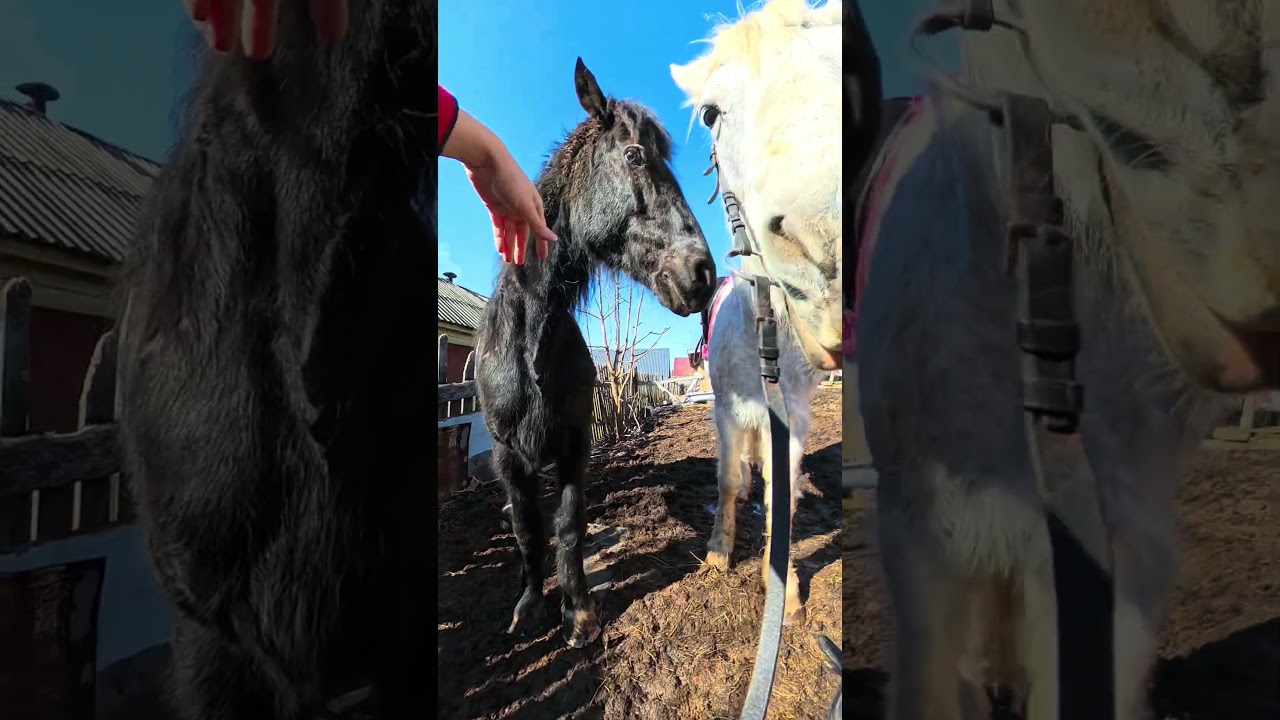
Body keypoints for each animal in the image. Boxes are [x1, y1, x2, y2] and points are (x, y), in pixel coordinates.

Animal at [475, 58, 717, 650]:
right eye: (634, 155)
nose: (703, 273)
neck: (529, 347)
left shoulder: (574, 444)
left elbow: (568, 525)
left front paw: (578, 613)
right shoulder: (508, 456)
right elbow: (526, 528)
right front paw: (530, 606)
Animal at [670, 0, 843, 625]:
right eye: (710, 113)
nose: (828, 239)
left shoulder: (790, 416)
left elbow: (781, 491)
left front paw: (784, 587)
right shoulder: (724, 408)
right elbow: (725, 480)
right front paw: (719, 552)